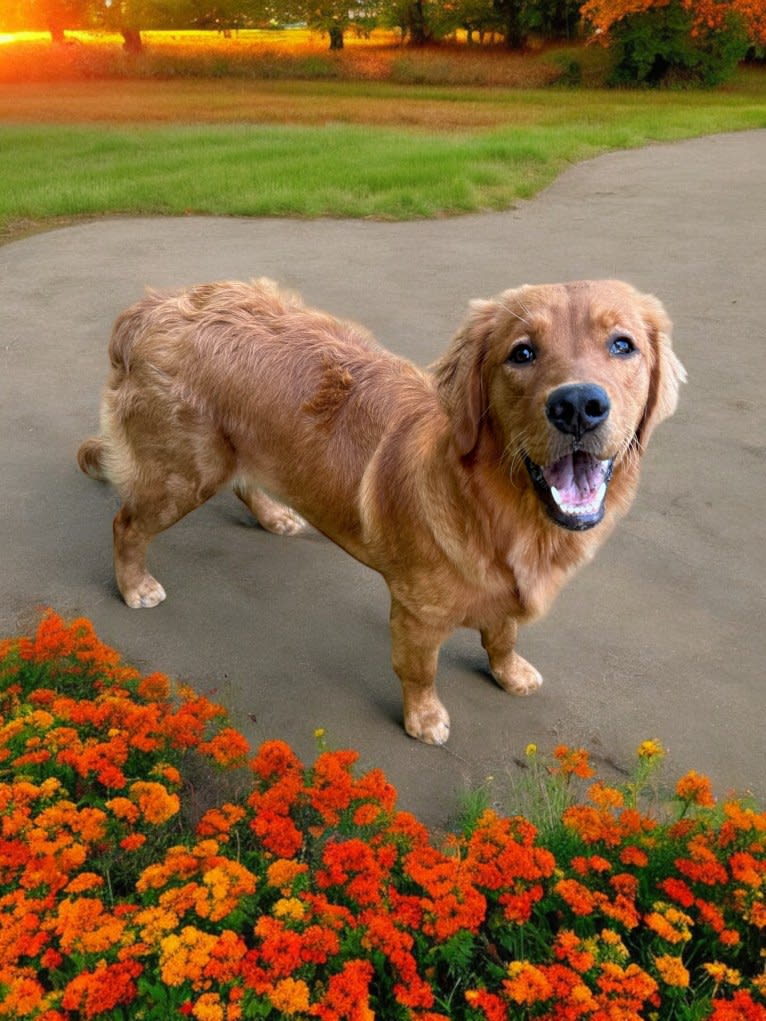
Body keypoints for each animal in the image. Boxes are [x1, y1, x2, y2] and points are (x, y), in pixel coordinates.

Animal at [78, 277, 686, 743]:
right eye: (522, 352)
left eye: (623, 345)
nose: (578, 405)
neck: (501, 511)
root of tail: (152, 307)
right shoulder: (416, 612)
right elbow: (420, 671)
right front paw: (425, 719)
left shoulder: (504, 595)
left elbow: (503, 634)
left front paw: (509, 673)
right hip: (184, 473)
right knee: (125, 524)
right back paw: (134, 585)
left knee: (246, 483)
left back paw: (274, 516)